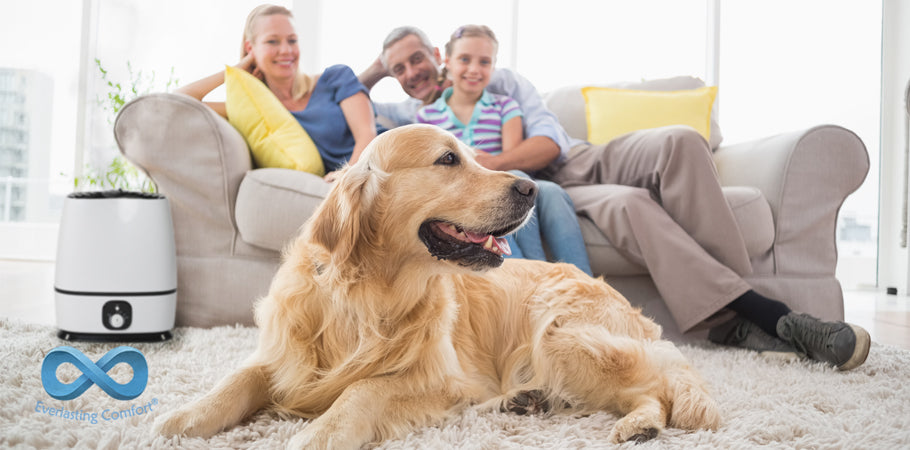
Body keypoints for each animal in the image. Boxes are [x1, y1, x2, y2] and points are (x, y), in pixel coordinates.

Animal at [160, 125, 724, 448]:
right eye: (448, 159)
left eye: (471, 156)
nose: (531, 187)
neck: (369, 293)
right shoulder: (285, 356)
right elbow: (237, 380)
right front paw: (182, 418)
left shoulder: (436, 376)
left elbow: (364, 388)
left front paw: (318, 434)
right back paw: (521, 401)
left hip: (561, 333)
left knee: (657, 389)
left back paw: (640, 424)